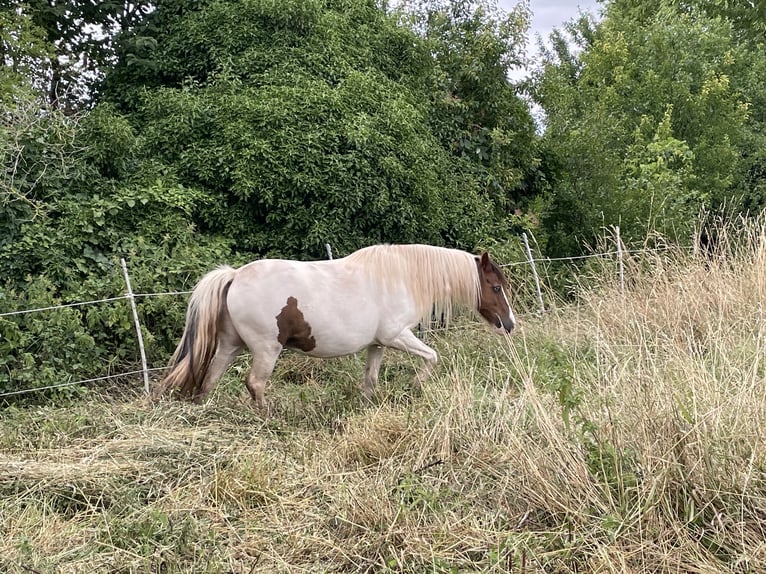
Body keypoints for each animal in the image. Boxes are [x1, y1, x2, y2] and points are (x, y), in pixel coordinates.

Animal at [156, 245, 516, 408]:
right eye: (496, 287)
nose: (509, 325)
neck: (401, 276)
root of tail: (235, 275)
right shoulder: (397, 336)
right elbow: (432, 357)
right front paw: (416, 384)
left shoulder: (378, 344)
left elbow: (371, 380)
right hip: (266, 349)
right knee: (255, 383)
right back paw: (269, 418)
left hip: (231, 346)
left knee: (210, 379)